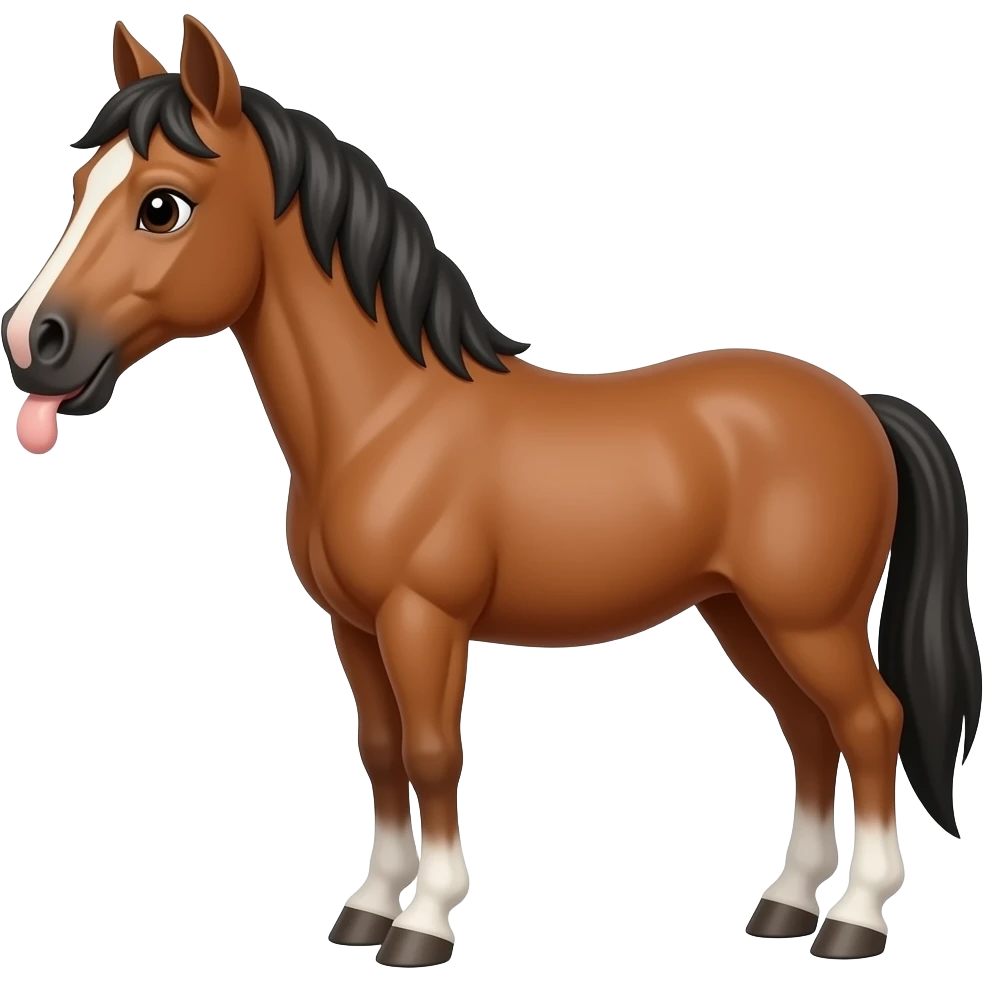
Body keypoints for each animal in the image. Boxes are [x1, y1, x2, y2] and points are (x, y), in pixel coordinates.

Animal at [2, 16, 979, 968]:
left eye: (161, 204)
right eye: (80, 182)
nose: (32, 342)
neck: (386, 419)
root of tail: (860, 404)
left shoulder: (422, 619)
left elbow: (434, 754)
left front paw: (424, 923)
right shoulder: (354, 628)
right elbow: (381, 752)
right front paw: (365, 908)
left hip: (809, 619)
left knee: (870, 722)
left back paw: (855, 917)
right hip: (741, 614)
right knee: (810, 732)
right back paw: (784, 905)